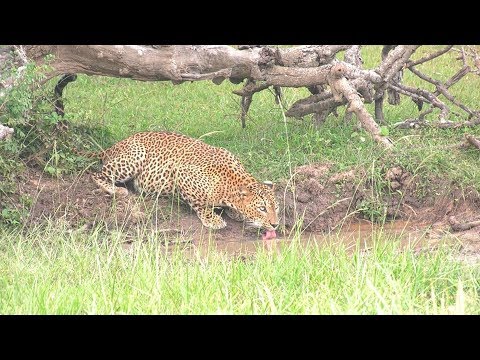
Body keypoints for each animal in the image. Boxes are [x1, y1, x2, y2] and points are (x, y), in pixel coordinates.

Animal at [77, 131, 280, 239]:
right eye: (262, 208)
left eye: (276, 208)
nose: (276, 224)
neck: (230, 182)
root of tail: (112, 147)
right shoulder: (182, 175)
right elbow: (201, 205)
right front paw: (213, 219)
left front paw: (236, 213)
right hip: (134, 156)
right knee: (96, 174)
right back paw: (117, 190)